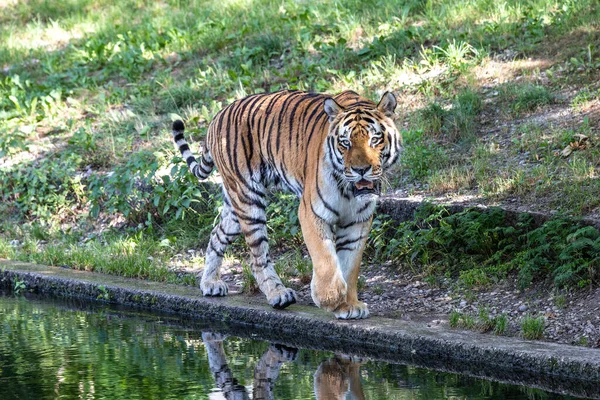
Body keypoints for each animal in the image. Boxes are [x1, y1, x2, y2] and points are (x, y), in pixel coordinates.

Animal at [171, 90, 400, 318]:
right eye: (345, 142)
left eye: (374, 139)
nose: (361, 170)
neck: (349, 191)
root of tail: (217, 116)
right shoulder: (311, 212)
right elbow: (325, 257)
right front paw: (330, 298)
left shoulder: (358, 222)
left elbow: (350, 265)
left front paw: (349, 305)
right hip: (248, 200)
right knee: (257, 258)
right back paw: (278, 294)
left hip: (235, 206)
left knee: (216, 235)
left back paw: (210, 283)